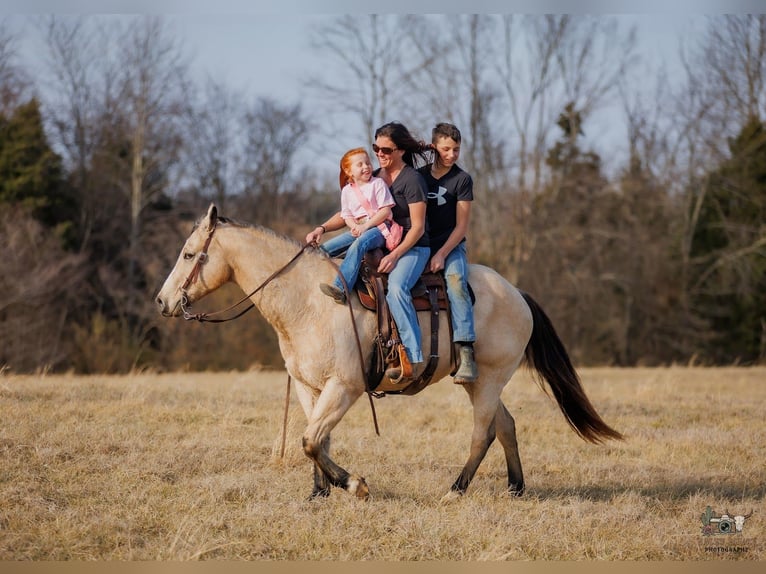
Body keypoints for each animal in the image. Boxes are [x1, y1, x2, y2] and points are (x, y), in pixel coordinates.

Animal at [155, 204, 623, 501]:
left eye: (189, 254)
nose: (162, 301)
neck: (309, 299)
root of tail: (518, 293)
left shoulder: (344, 387)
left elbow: (311, 440)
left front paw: (354, 486)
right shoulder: (310, 387)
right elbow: (316, 439)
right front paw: (318, 493)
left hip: (490, 378)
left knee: (482, 433)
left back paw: (455, 490)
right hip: (477, 381)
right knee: (504, 426)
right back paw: (516, 488)